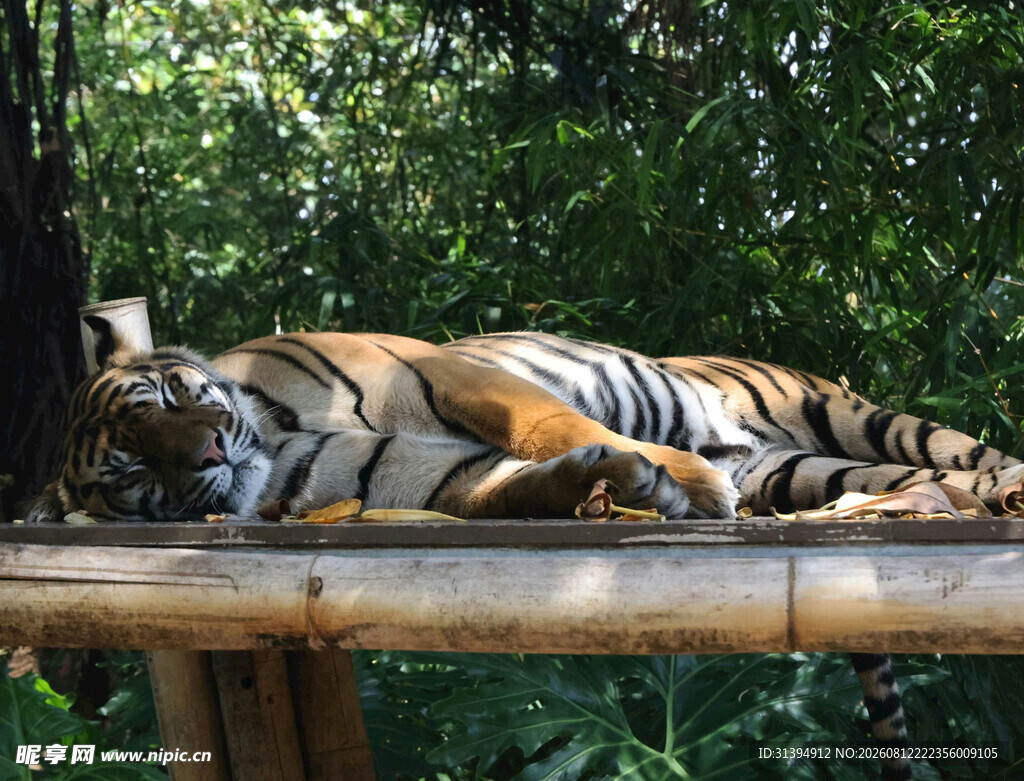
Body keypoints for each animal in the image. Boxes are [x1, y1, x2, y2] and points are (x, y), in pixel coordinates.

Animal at [26, 329, 1023, 781]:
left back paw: (1002, 488)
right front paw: (614, 481)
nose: (204, 454)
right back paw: (936, 503)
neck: (278, 440)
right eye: (133, 474)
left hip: (842, 412)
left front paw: (676, 480)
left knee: (970, 449)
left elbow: (550, 420)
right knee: (917, 481)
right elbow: (506, 486)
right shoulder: (418, 478)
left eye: (167, 398)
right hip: (805, 469)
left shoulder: (445, 372)